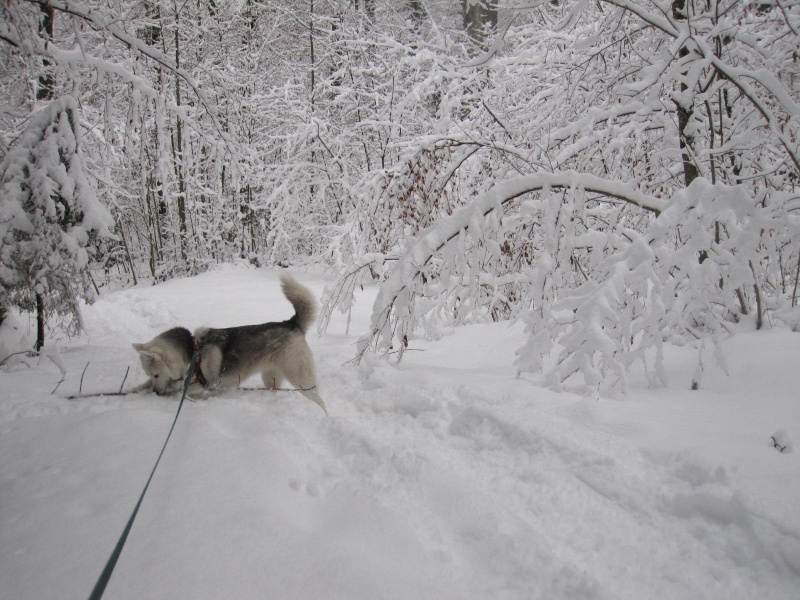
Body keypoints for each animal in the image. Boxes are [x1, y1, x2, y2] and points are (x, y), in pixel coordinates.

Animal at [133, 274, 326, 414]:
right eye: (151, 375)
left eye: (156, 375)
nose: (157, 393)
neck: (193, 353)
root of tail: (291, 323)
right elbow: (145, 385)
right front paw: (134, 389)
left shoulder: (206, 385)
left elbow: (190, 393)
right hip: (270, 377)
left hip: (301, 380)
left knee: (320, 401)